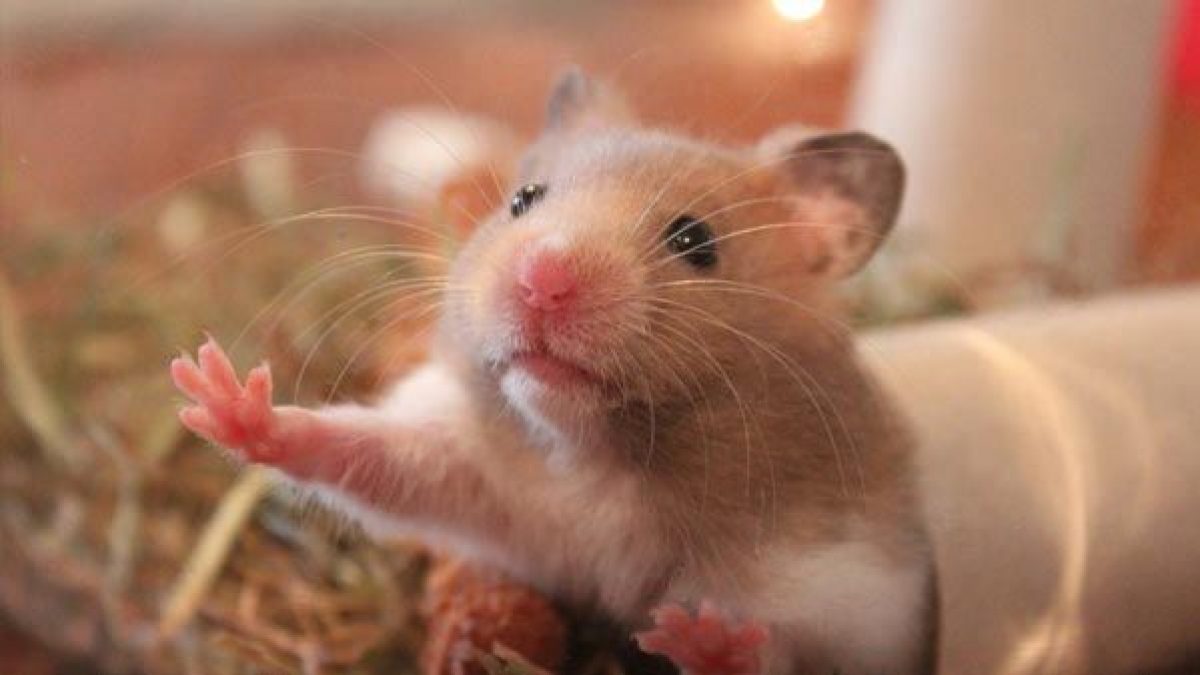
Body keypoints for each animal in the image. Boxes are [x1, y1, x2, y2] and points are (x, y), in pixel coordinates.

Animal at [171, 68, 938, 675]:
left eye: (696, 241)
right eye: (524, 198)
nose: (542, 278)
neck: (594, 455)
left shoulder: (845, 594)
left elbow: (776, 651)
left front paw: (703, 638)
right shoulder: (478, 476)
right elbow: (364, 453)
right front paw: (222, 396)